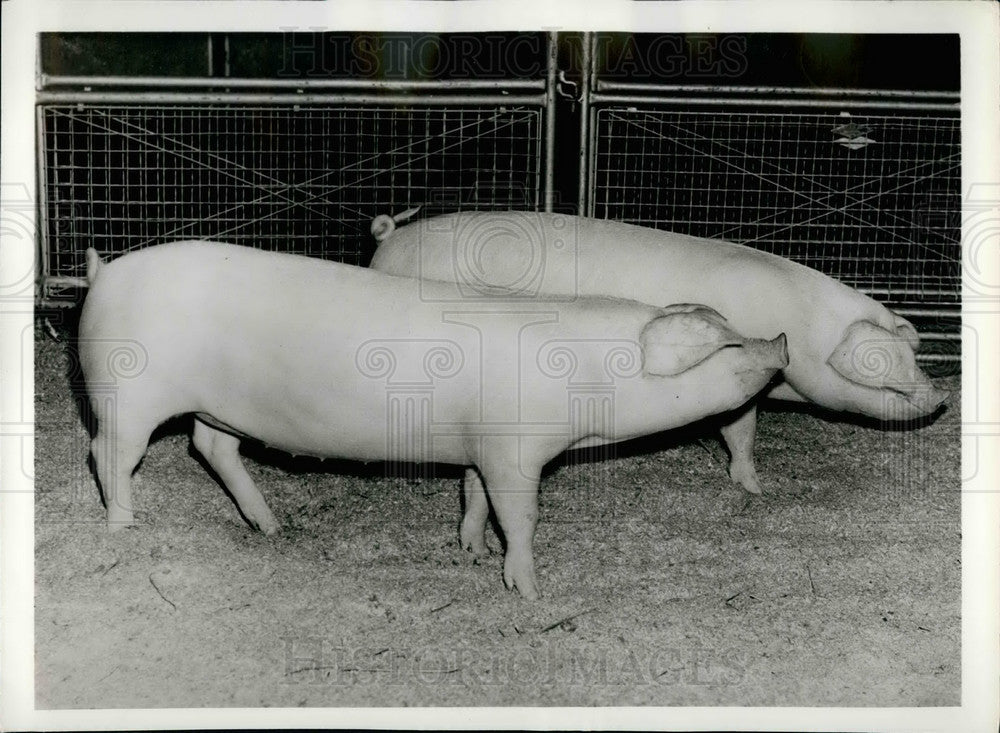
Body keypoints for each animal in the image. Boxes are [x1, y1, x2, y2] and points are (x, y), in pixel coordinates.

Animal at [80, 240, 788, 596]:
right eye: (722, 346)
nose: (779, 342)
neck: (589, 371)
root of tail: (102, 274)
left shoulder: (479, 447)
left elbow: (473, 497)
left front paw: (471, 550)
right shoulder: (513, 450)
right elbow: (520, 516)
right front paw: (528, 591)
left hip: (220, 409)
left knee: (212, 448)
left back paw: (272, 527)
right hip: (127, 395)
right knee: (107, 455)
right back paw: (122, 527)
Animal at [372, 213, 948, 498]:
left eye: (912, 354)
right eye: (885, 371)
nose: (942, 398)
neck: (803, 328)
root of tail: (389, 242)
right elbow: (739, 426)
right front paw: (759, 489)